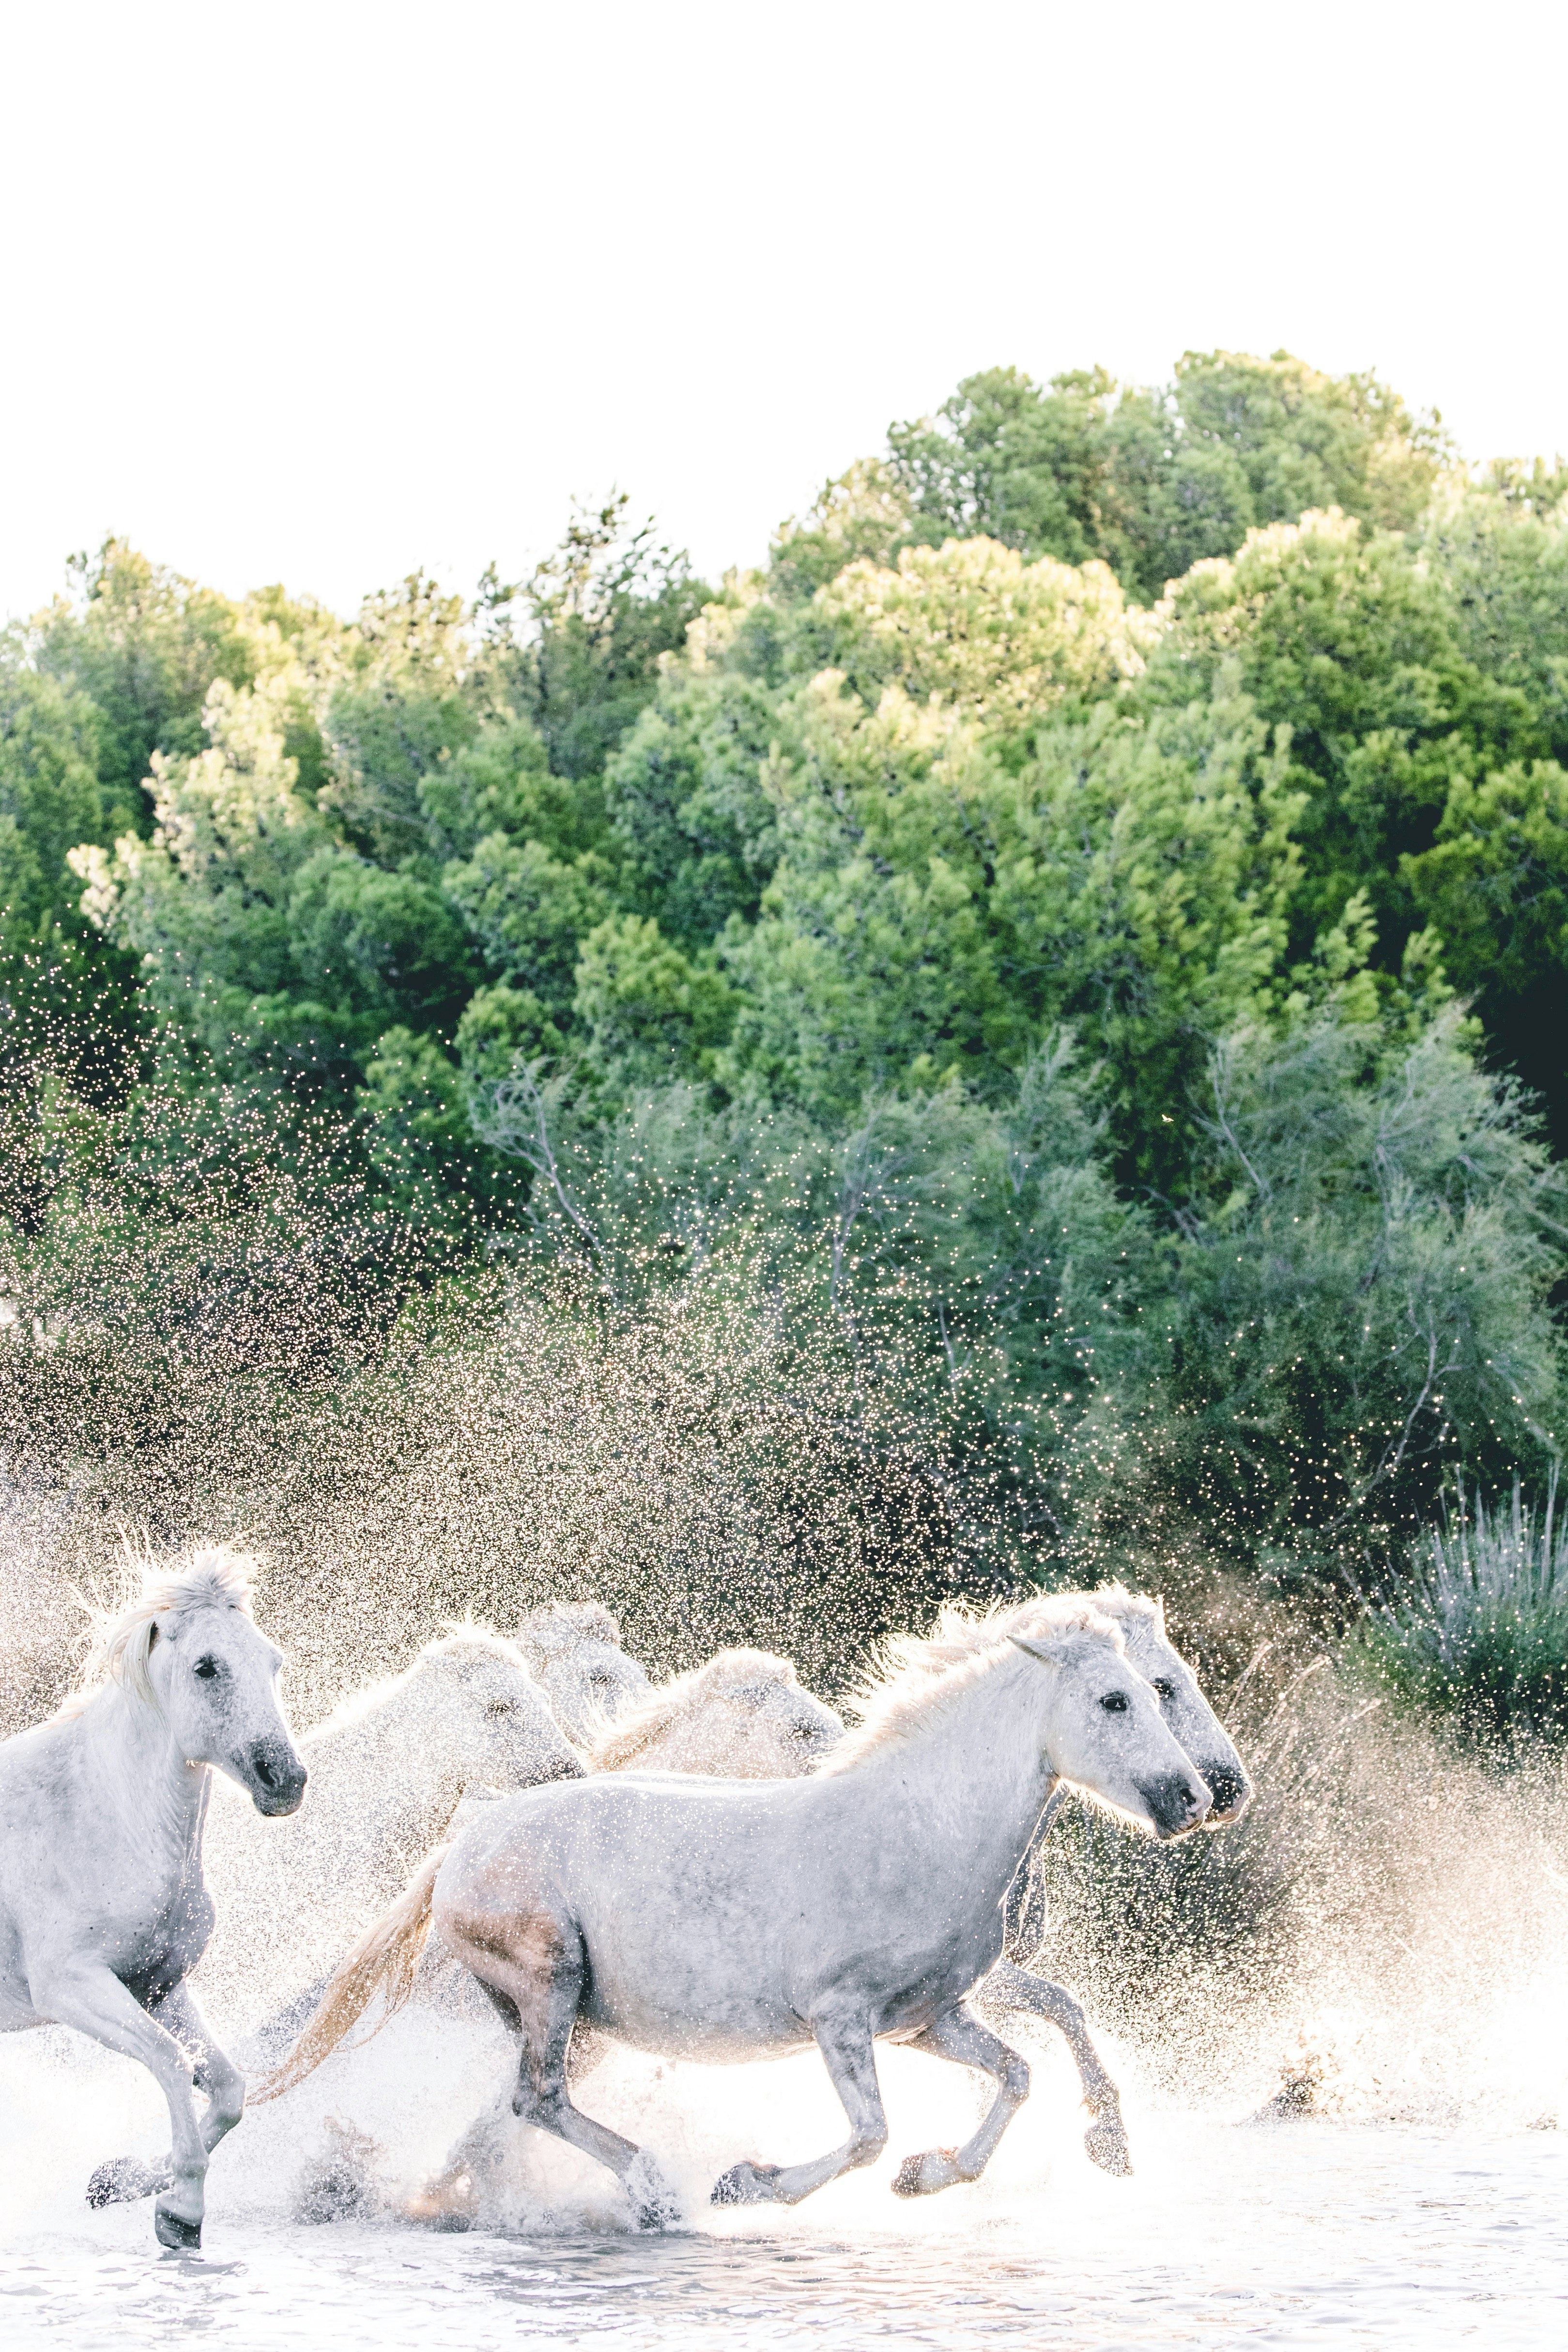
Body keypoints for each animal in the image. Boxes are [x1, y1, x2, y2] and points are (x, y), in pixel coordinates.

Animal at [0, 1552, 307, 2248]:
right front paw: (183, 2210)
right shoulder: (73, 1987)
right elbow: (169, 2060)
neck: (103, 1816)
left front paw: (120, 2182)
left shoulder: (157, 1985)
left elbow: (228, 2089)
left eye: (273, 1660)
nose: (286, 1780)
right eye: (207, 1666)